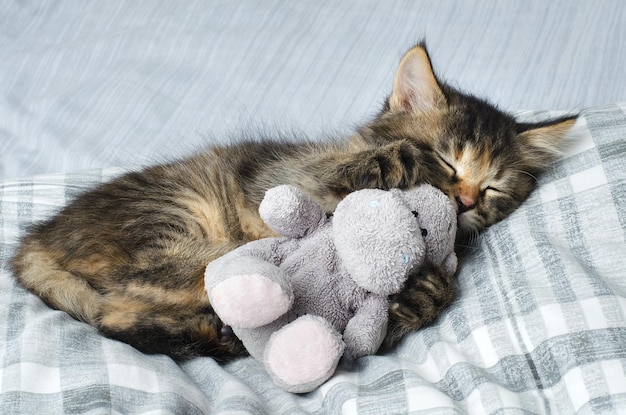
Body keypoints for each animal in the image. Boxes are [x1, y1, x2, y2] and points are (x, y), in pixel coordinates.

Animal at [11, 43, 576, 360]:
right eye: (448, 160)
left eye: (493, 189)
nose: (463, 201)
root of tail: (32, 243)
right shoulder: (286, 178)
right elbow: (360, 169)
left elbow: (436, 290)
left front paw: (417, 294)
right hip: (177, 218)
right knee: (136, 294)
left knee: (118, 315)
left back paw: (219, 335)